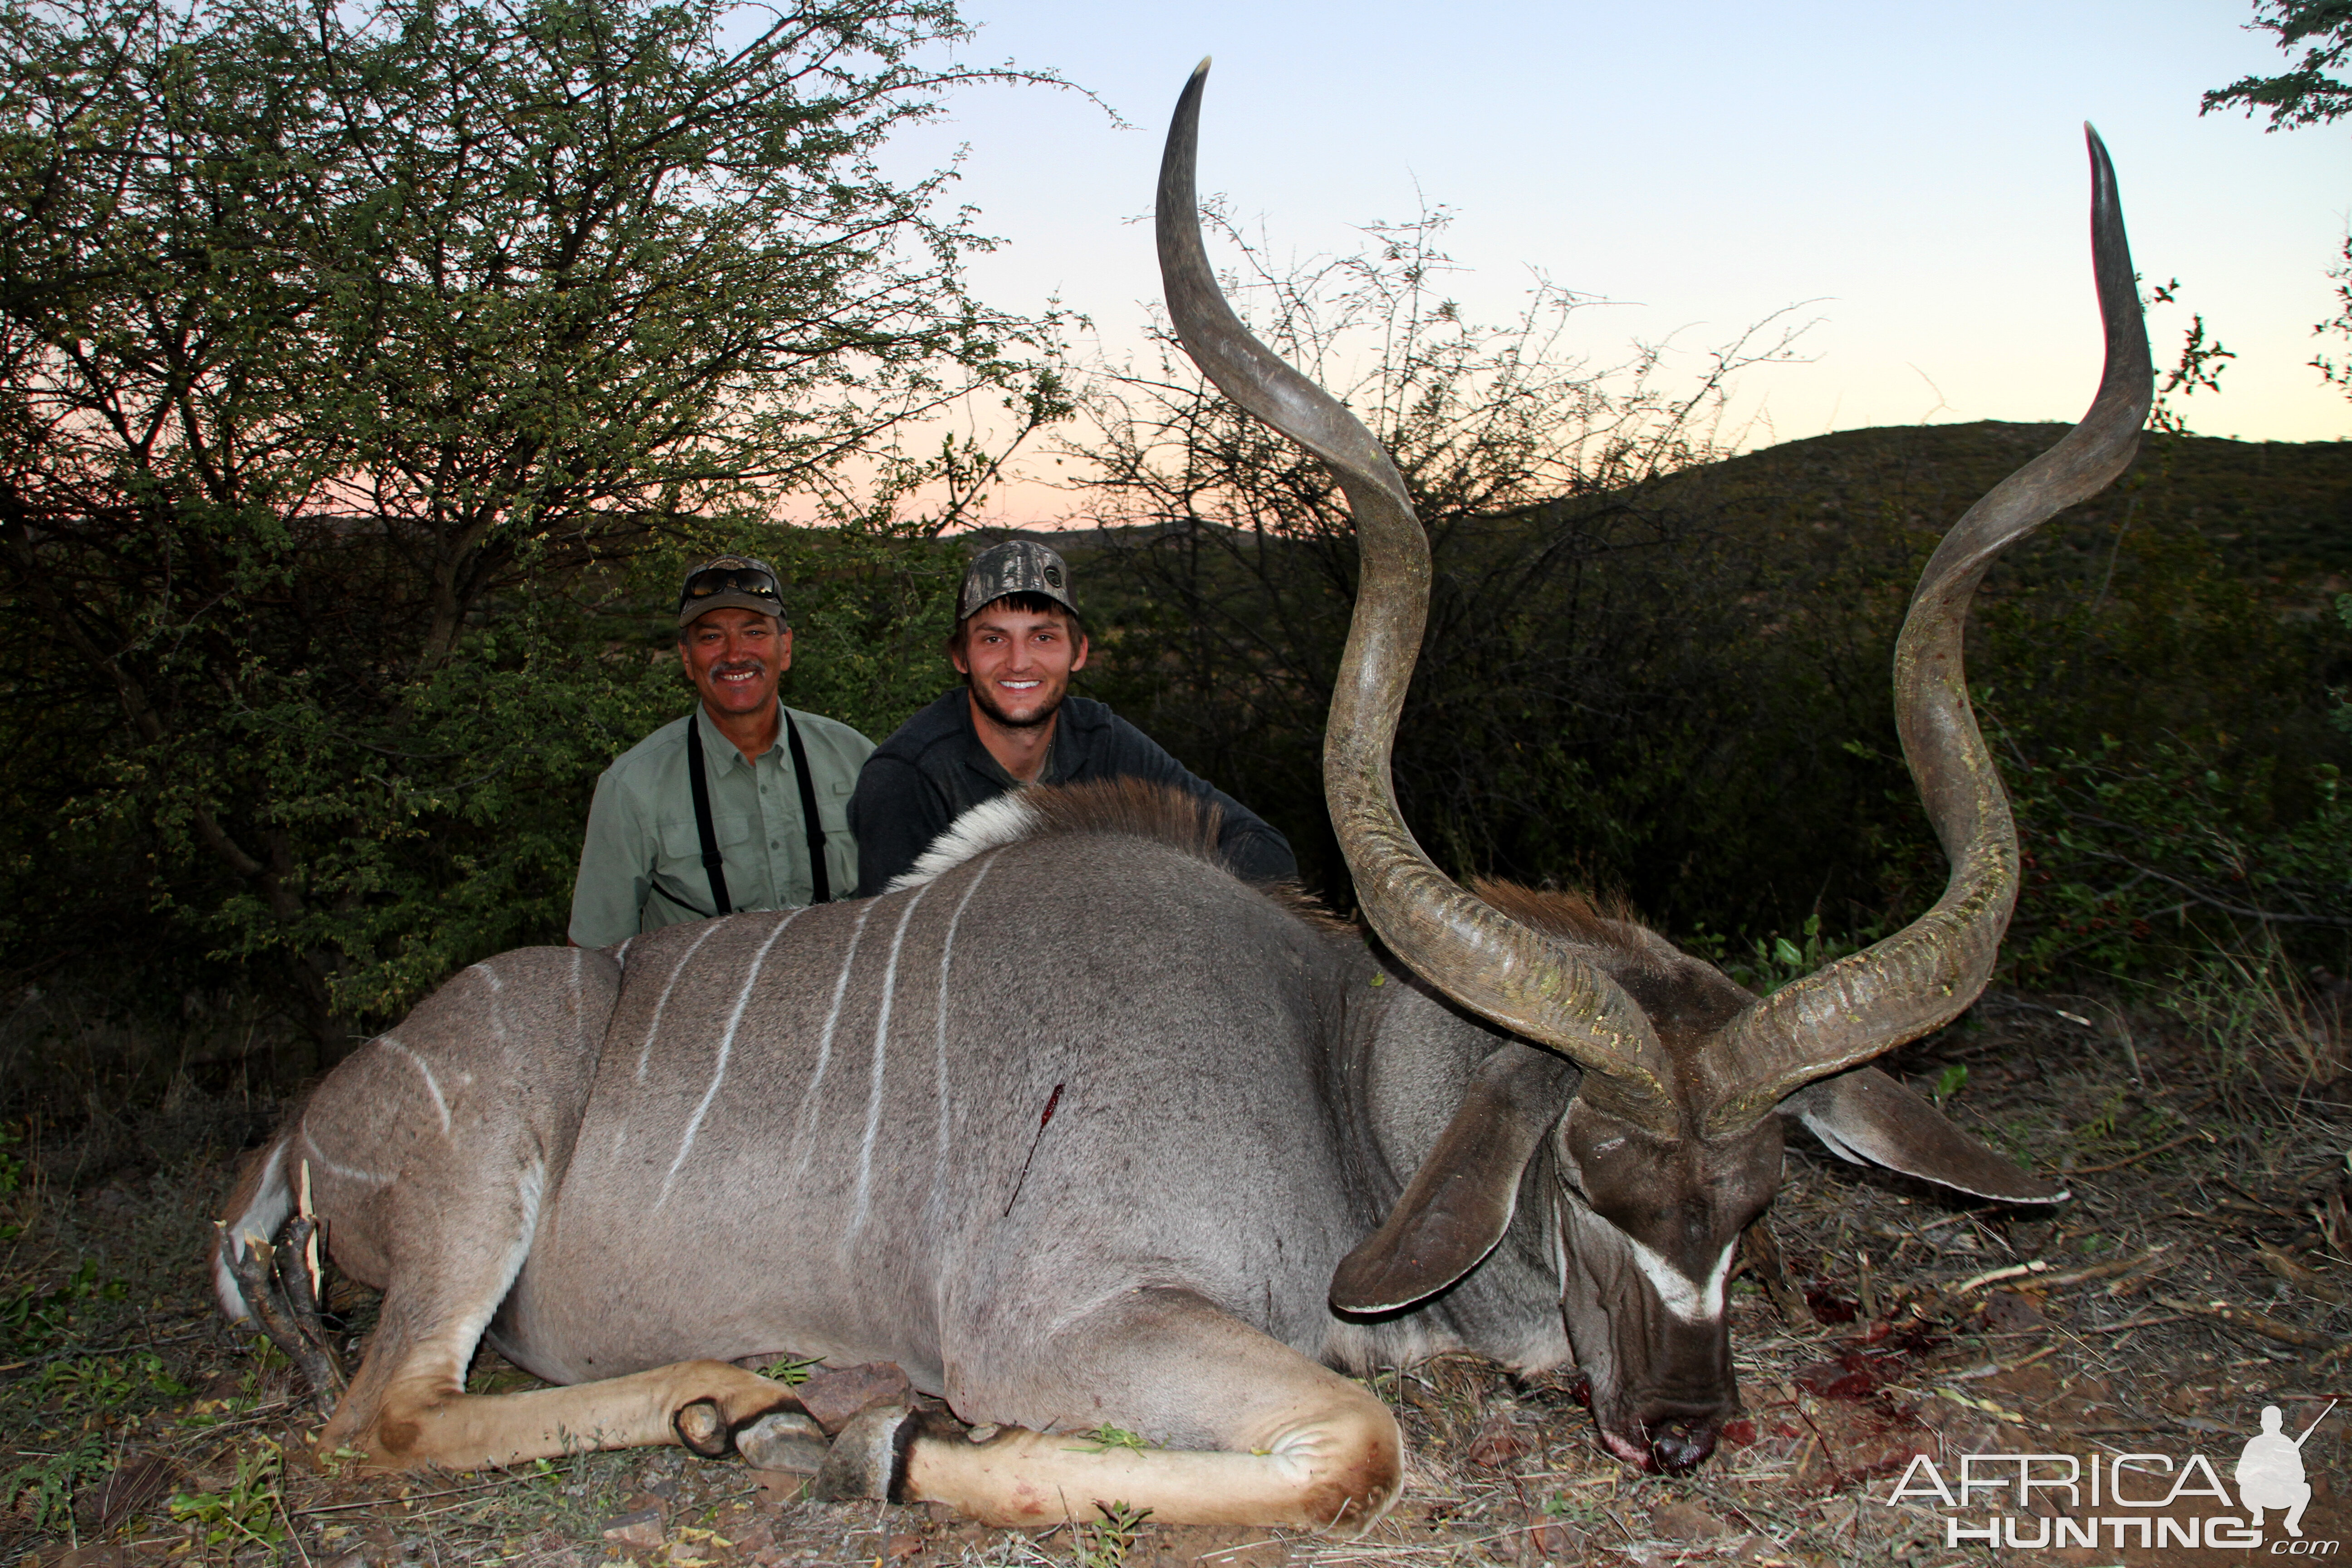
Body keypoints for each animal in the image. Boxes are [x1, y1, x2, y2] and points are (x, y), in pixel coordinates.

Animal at [216, 70, 2154, 1533]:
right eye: (1589, 1179)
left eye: (1752, 1204)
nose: (1680, 1427)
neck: (1331, 1081)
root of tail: (297, 1134)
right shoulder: (1067, 1318)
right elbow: (1356, 1442)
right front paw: (873, 1435)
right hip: (479, 1184)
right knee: (379, 1416)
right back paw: (733, 1395)